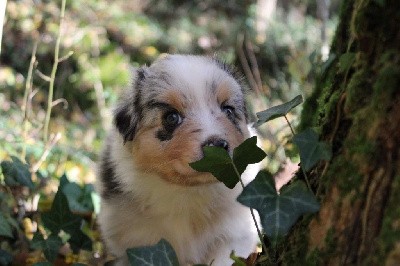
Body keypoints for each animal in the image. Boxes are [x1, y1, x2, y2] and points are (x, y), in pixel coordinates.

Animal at [97, 55, 260, 264]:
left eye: (228, 111)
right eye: (171, 117)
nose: (217, 145)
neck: (188, 191)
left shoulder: (236, 234)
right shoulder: (135, 241)